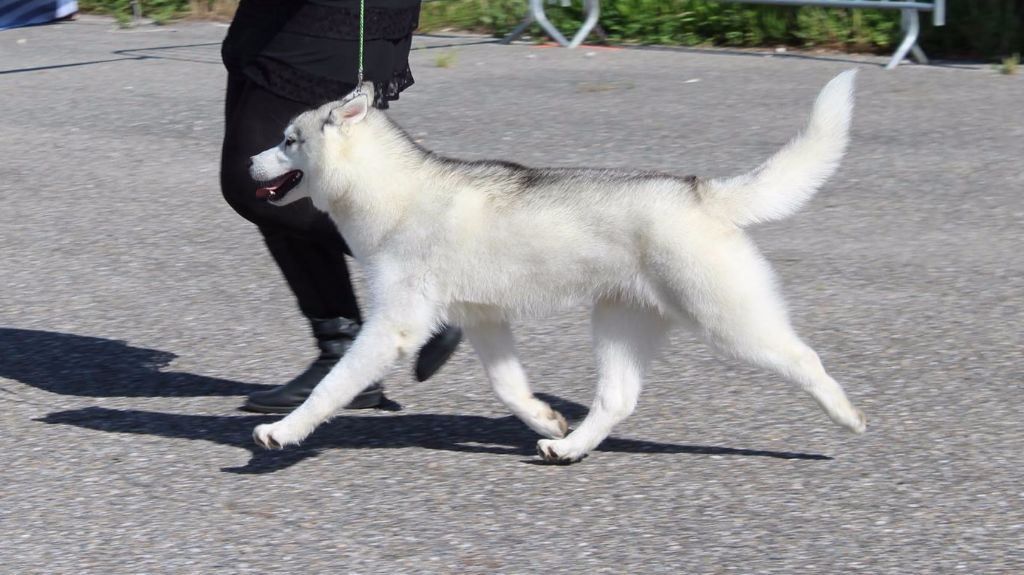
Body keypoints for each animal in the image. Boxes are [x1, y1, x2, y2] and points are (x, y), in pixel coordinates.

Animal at [247, 70, 864, 460]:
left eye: (288, 140)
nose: (248, 161)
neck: (392, 193)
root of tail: (701, 192)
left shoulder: (393, 328)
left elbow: (332, 388)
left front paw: (283, 431)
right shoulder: (483, 319)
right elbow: (509, 389)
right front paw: (544, 420)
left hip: (729, 322)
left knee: (806, 359)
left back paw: (847, 417)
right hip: (619, 323)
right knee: (617, 400)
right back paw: (569, 448)